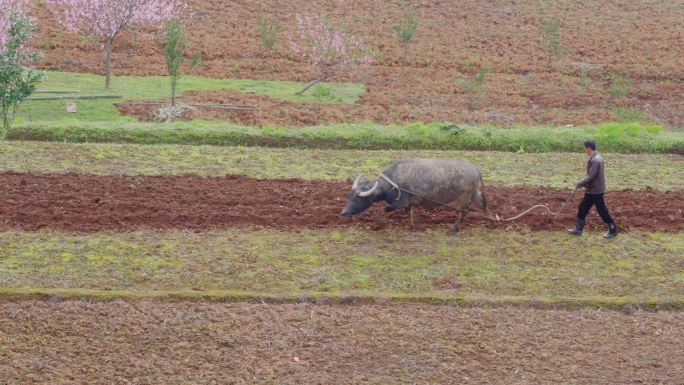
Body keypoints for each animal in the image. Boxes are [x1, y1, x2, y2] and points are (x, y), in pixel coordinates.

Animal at [342, 157, 492, 230]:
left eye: (358, 199)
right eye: (349, 196)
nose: (343, 213)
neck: (391, 183)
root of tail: (474, 168)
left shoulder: (399, 202)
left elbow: (385, 209)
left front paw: (378, 224)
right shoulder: (407, 204)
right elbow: (409, 213)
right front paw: (411, 226)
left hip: (465, 196)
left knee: (464, 211)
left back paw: (455, 228)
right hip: (474, 193)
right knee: (484, 205)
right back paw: (491, 221)